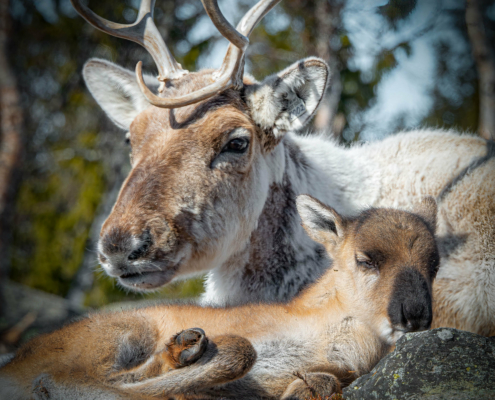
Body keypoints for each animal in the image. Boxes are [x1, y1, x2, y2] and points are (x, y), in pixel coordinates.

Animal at [1, 195, 440, 398]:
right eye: (365, 260)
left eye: (433, 265)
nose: (415, 315)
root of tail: (15, 364)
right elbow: (241, 351)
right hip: (122, 331)